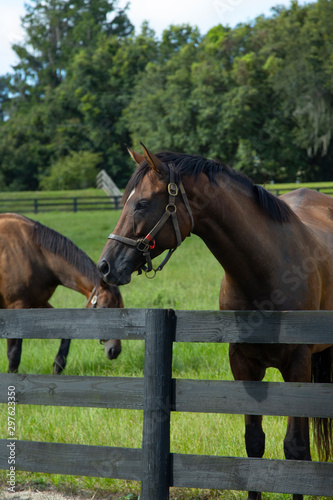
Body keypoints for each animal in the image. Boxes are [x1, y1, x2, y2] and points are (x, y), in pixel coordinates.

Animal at [0, 213, 122, 374]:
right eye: (104, 308)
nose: (115, 350)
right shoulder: (16, 307)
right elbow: (14, 353)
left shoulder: (38, 303)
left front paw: (58, 365)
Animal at [97, 144, 332, 500]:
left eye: (142, 203)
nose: (105, 266)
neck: (269, 270)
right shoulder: (243, 365)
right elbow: (254, 445)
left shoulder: (298, 366)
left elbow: (296, 450)